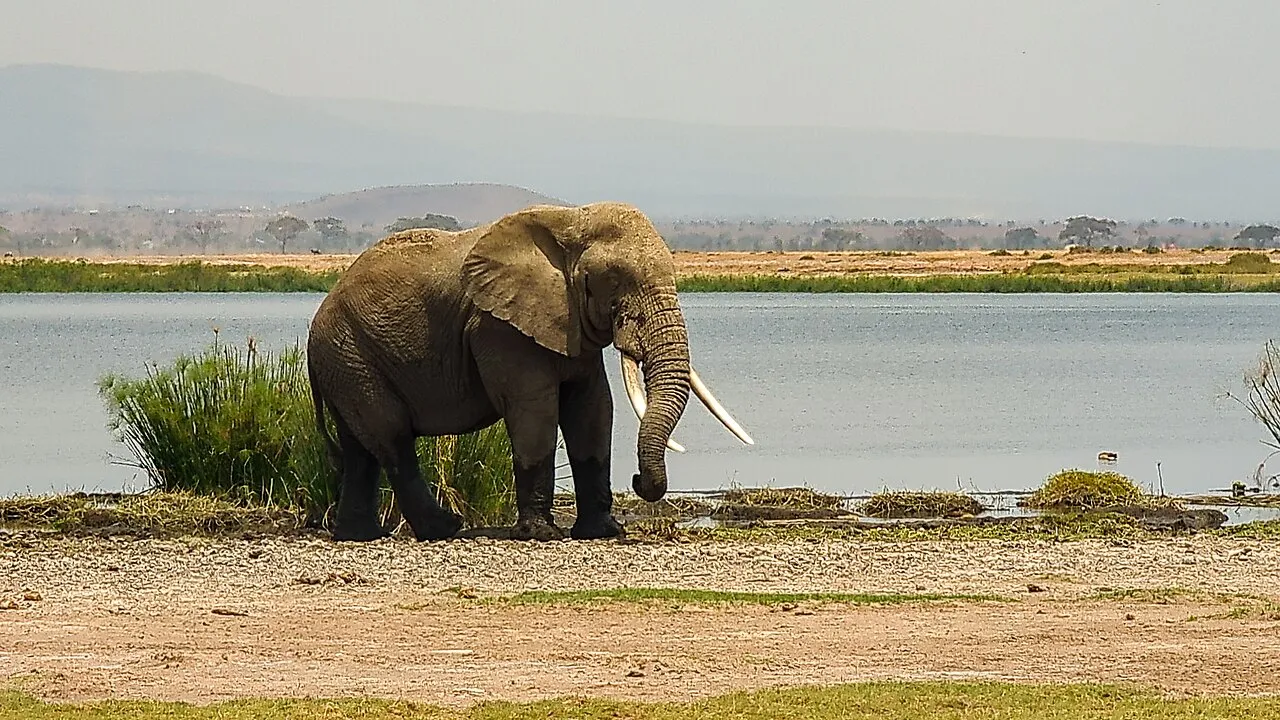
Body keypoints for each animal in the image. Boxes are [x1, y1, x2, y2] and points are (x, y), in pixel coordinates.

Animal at [306, 201, 753, 542]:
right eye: (613, 281)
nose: (639, 479)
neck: (570, 220)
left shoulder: (568, 322)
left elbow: (592, 408)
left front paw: (604, 532)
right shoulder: (499, 327)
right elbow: (535, 410)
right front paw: (542, 534)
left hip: (347, 364)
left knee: (360, 450)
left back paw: (359, 535)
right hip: (352, 356)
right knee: (393, 440)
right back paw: (446, 529)